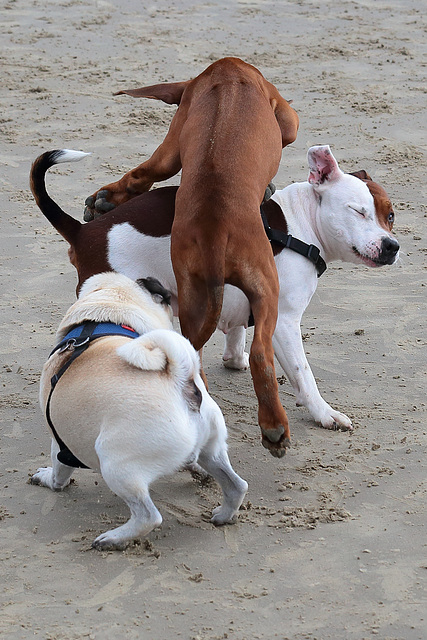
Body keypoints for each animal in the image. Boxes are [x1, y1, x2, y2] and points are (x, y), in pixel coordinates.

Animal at [30, 146, 402, 440]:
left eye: (390, 216)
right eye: (358, 211)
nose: (391, 246)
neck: (300, 228)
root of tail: (85, 232)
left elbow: (239, 336)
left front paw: (236, 359)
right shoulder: (284, 321)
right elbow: (303, 374)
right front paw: (324, 413)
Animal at [30, 272, 247, 552]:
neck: (113, 306)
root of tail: (179, 378)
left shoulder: (60, 440)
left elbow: (59, 472)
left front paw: (48, 480)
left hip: (116, 464)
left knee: (148, 516)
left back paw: (114, 538)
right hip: (212, 450)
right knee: (235, 485)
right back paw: (223, 514)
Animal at [85, 56, 300, 456]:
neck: (227, 73)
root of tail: (215, 227)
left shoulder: (173, 141)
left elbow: (143, 173)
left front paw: (104, 199)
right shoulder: (282, 110)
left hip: (198, 292)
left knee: (199, 353)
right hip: (265, 284)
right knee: (258, 353)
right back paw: (274, 427)